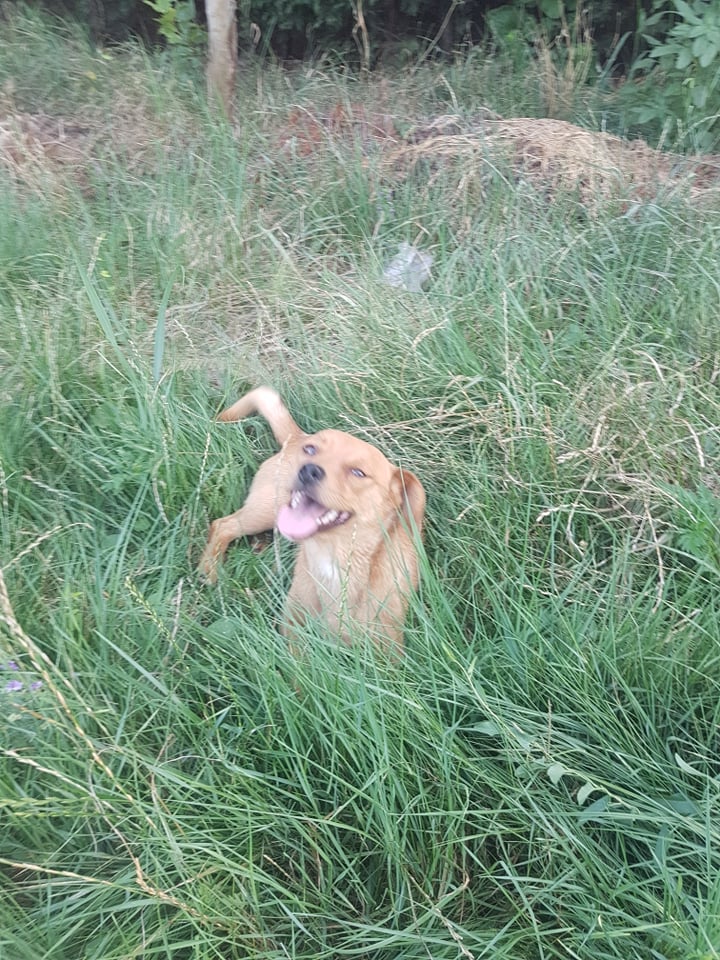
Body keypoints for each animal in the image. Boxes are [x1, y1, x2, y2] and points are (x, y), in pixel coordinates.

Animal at [197, 388, 424, 652]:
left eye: (358, 472)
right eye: (311, 450)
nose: (308, 470)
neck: (333, 560)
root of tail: (296, 437)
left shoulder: (388, 647)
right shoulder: (292, 628)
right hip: (267, 509)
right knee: (223, 525)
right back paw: (208, 568)